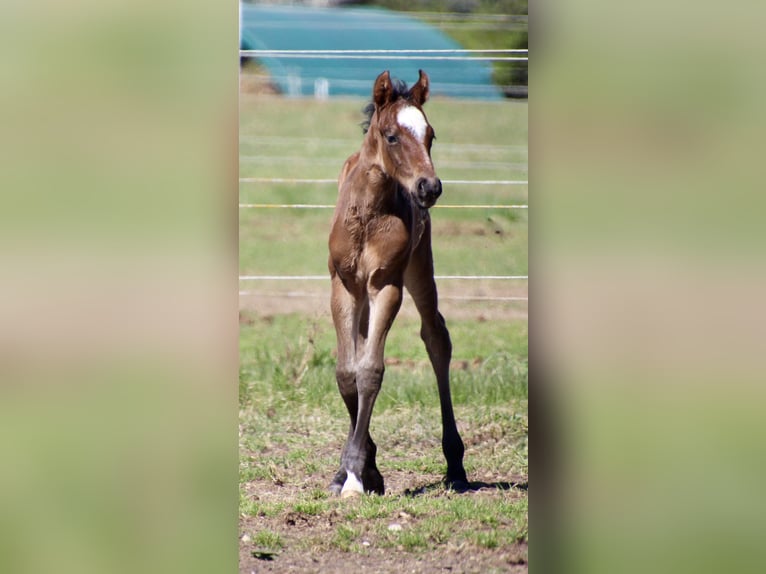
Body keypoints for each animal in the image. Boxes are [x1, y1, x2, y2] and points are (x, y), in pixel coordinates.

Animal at [327, 70, 468, 497]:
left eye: (431, 135)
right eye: (391, 136)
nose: (429, 187)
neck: (368, 215)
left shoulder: (387, 286)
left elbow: (370, 370)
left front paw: (357, 474)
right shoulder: (343, 287)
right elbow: (348, 372)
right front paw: (357, 470)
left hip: (420, 268)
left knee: (436, 338)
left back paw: (456, 464)